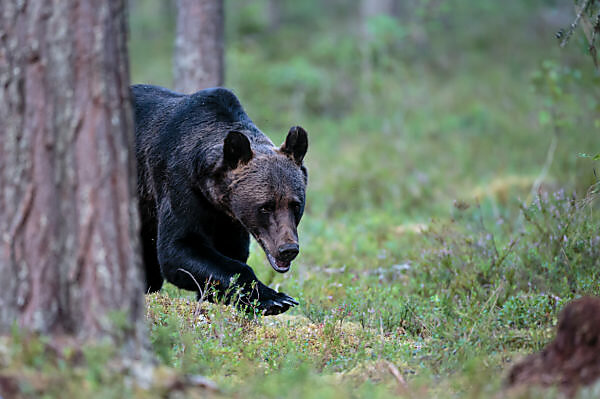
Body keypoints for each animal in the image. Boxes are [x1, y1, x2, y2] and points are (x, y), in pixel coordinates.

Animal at [132, 84, 310, 316]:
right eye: (265, 207)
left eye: (295, 205)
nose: (288, 249)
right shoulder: (180, 186)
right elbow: (179, 247)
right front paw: (275, 299)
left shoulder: (229, 220)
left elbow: (230, 252)